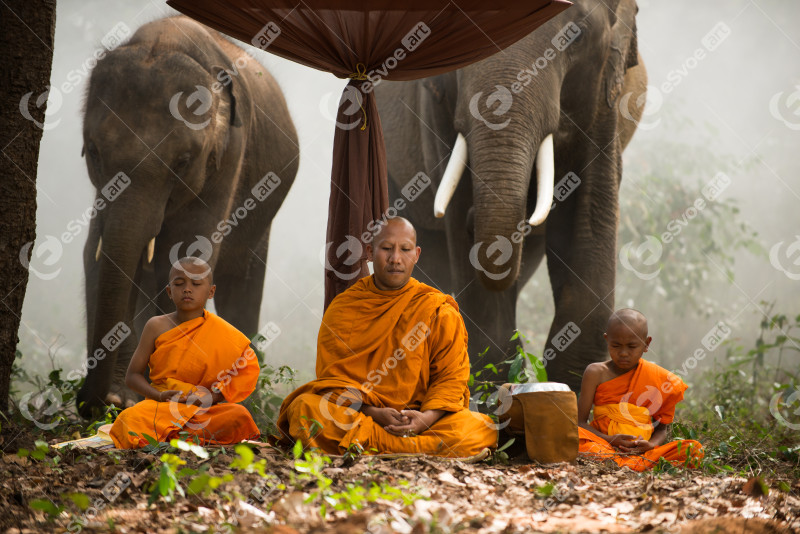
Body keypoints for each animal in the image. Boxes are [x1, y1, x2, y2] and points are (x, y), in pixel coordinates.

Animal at [76, 16, 296, 418]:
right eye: (94, 152)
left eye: (181, 162)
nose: (87, 403)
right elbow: (96, 254)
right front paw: (123, 400)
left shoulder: (228, 159)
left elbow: (185, 255)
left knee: (243, 281)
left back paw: (250, 403)